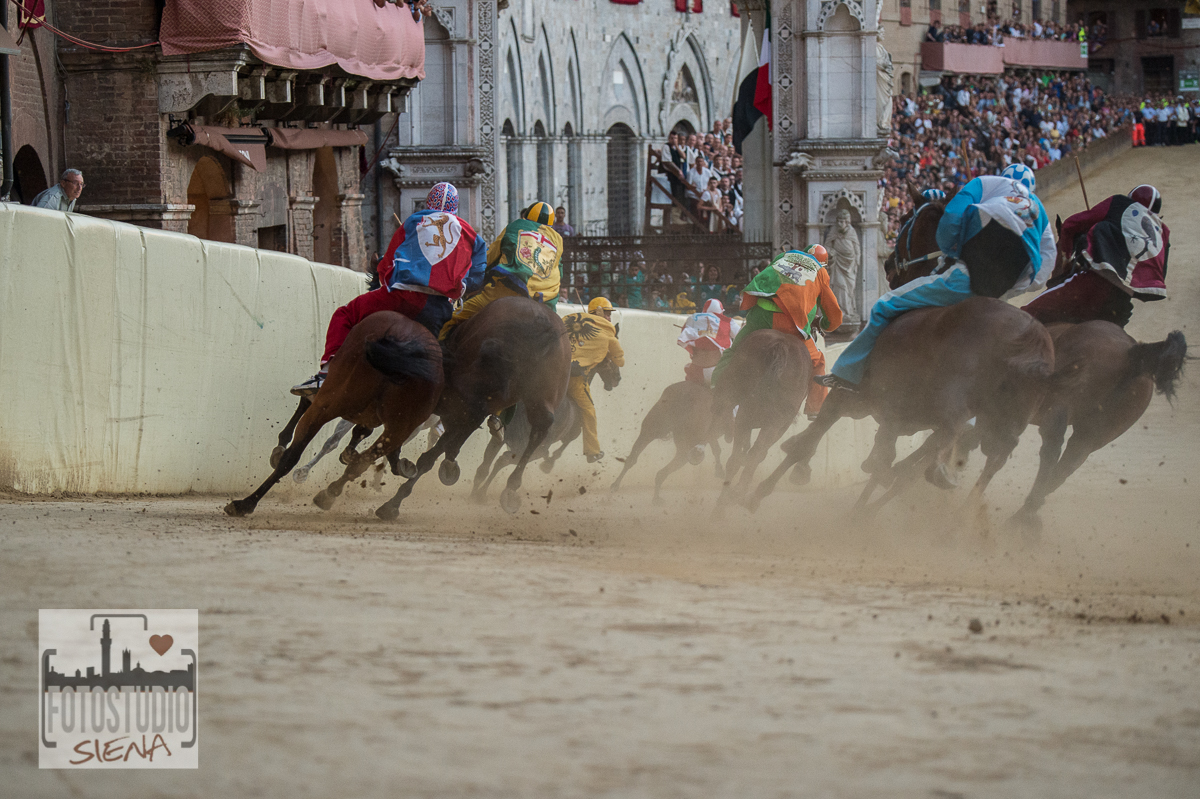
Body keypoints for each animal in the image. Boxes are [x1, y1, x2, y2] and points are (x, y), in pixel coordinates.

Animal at [465, 355, 619, 499]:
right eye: (610, 360)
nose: (617, 377)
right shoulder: (569, 433)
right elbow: (561, 447)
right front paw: (548, 464)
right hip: (535, 446)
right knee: (503, 460)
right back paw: (481, 493)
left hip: (503, 437)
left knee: (486, 466)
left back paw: (475, 494)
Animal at [705, 328, 811, 503]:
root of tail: (780, 345)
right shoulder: (776, 425)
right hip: (764, 420)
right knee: (746, 454)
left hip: (746, 413)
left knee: (738, 456)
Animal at [748, 190, 1060, 515]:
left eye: (908, 219)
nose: (889, 267)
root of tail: (1031, 341)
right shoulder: (893, 416)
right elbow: (884, 454)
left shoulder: (848, 400)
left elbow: (810, 440)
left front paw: (762, 490)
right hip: (1005, 423)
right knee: (987, 456)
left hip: (954, 399)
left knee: (949, 433)